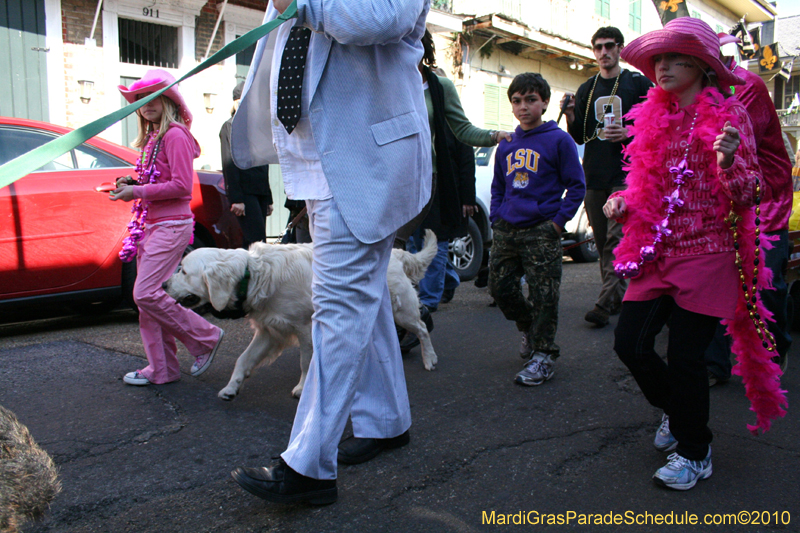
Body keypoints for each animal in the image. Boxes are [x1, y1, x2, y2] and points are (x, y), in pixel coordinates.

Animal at [162, 229, 438, 400]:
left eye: (183, 271)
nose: (163, 284)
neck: (255, 275)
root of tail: (396, 252)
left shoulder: (304, 327)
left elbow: (306, 362)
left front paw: (303, 387)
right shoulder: (269, 330)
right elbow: (243, 359)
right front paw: (231, 387)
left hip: (401, 309)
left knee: (423, 328)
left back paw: (430, 358)